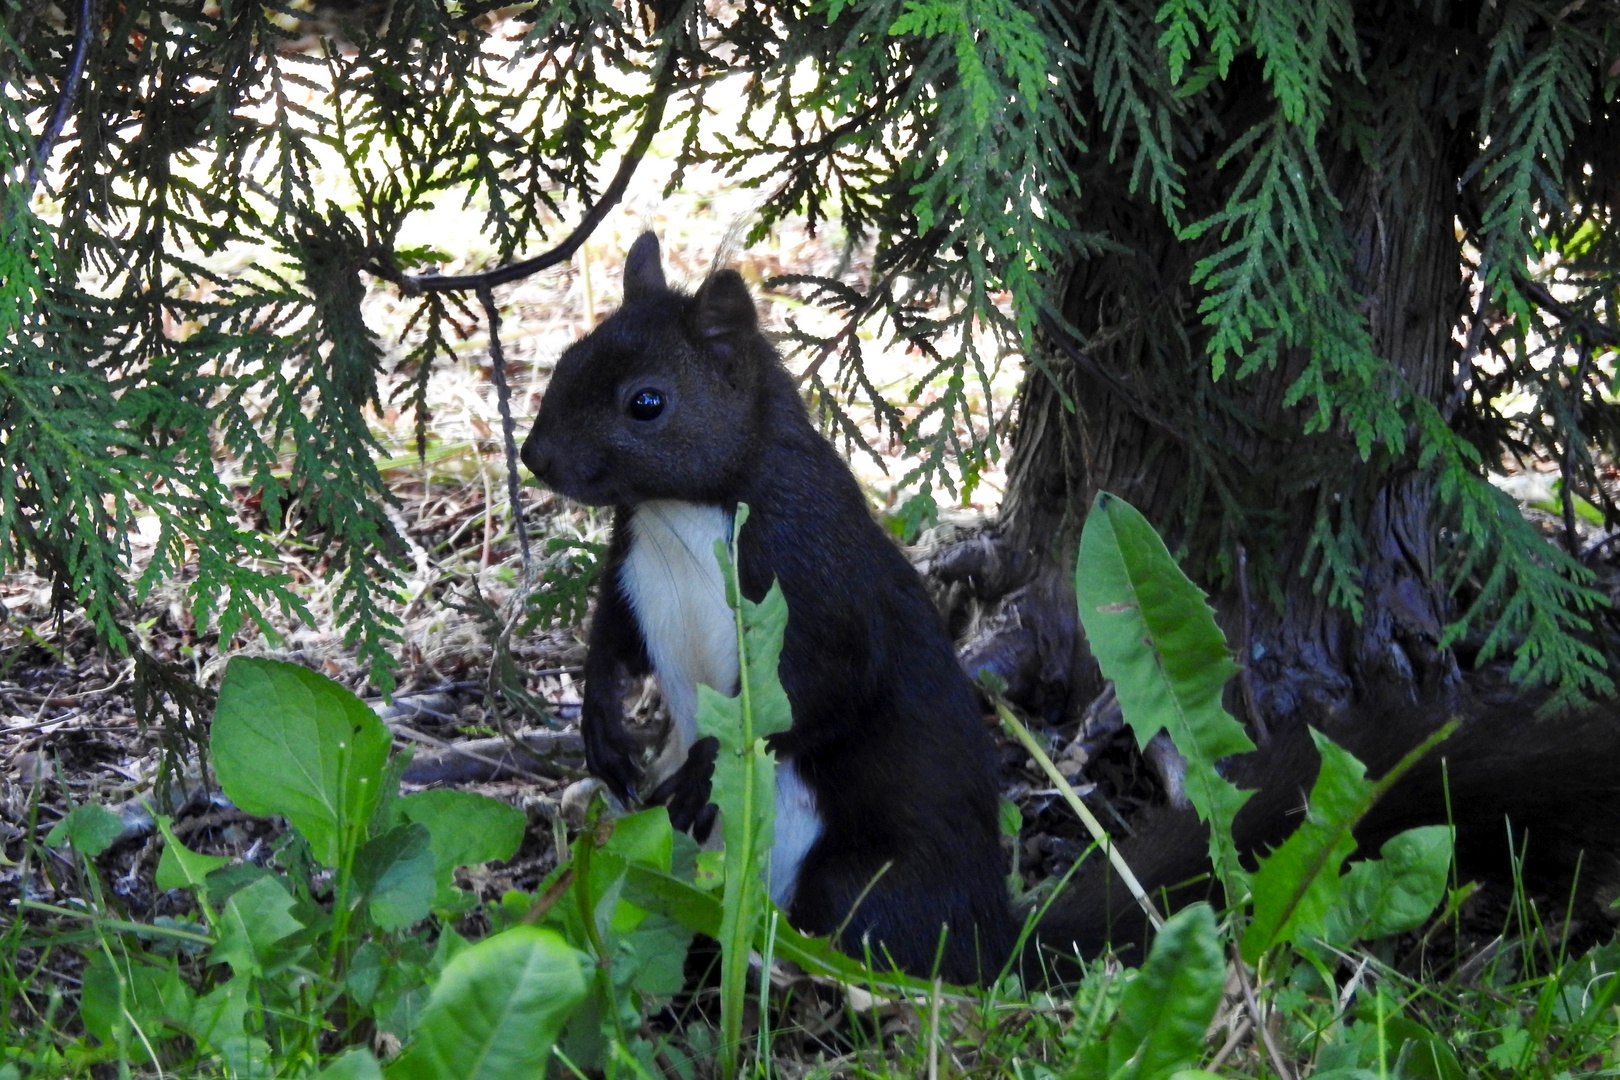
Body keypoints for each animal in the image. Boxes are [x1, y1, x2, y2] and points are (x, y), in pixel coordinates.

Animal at [524, 233, 1620, 984]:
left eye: (647, 402)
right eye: (570, 360)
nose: (534, 458)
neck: (685, 513)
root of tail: (990, 932)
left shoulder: (811, 576)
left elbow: (814, 688)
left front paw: (701, 756)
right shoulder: (633, 569)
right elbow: (613, 642)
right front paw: (605, 728)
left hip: (858, 881)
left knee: (874, 937)